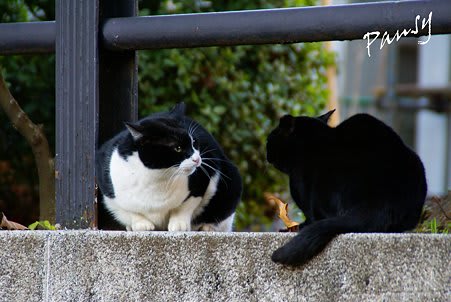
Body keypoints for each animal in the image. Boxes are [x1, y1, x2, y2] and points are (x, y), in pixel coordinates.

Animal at [96, 102, 244, 232]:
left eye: (194, 142)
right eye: (177, 148)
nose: (197, 159)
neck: (157, 179)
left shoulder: (200, 183)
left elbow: (185, 206)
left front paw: (179, 224)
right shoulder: (107, 189)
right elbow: (127, 211)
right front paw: (141, 224)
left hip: (231, 180)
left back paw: (207, 227)